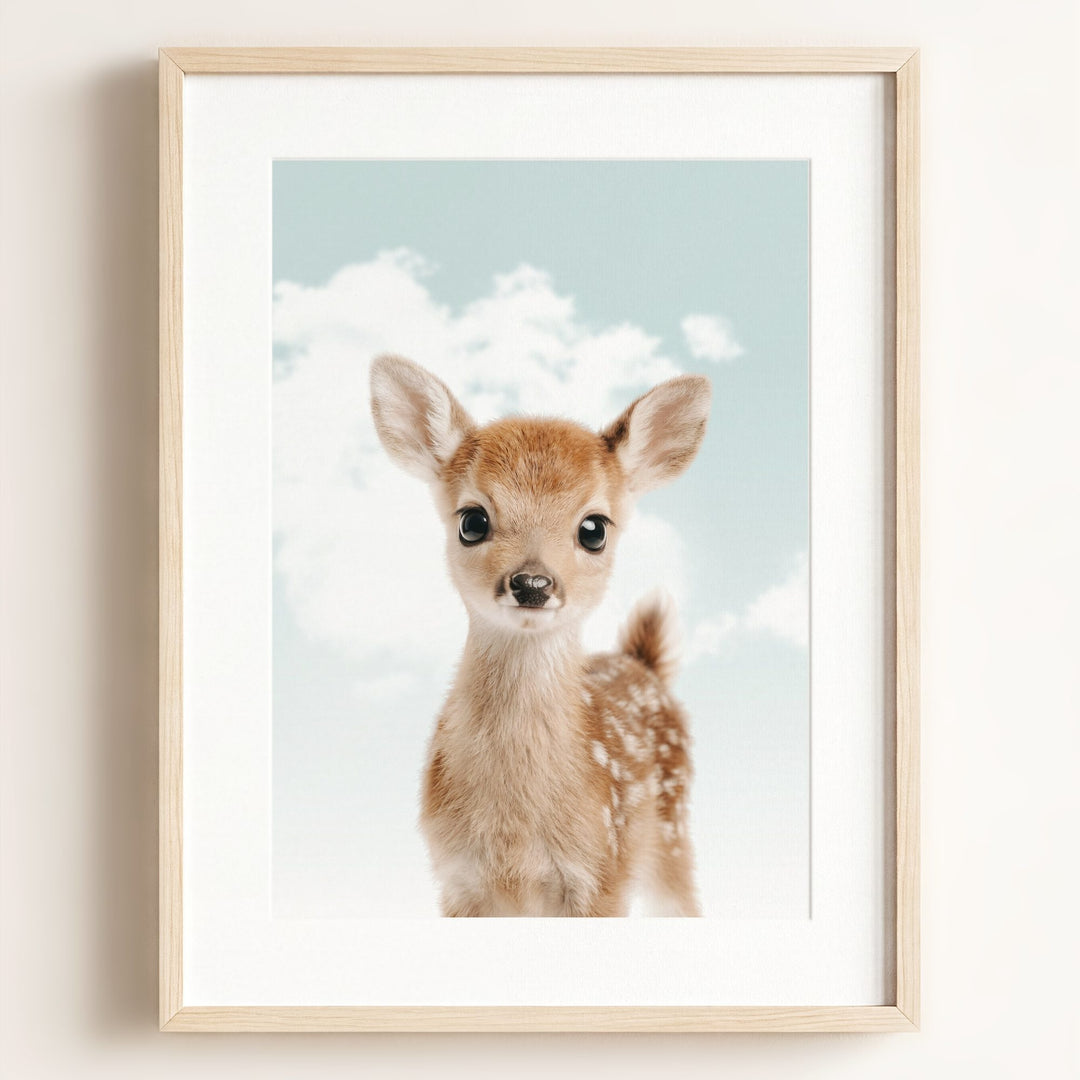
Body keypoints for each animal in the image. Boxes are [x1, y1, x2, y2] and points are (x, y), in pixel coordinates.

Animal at [369, 354, 711, 916]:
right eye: (472, 520)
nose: (532, 583)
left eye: (594, 529)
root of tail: (643, 663)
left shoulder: (602, 873)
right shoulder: (457, 879)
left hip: (672, 832)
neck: (515, 836)